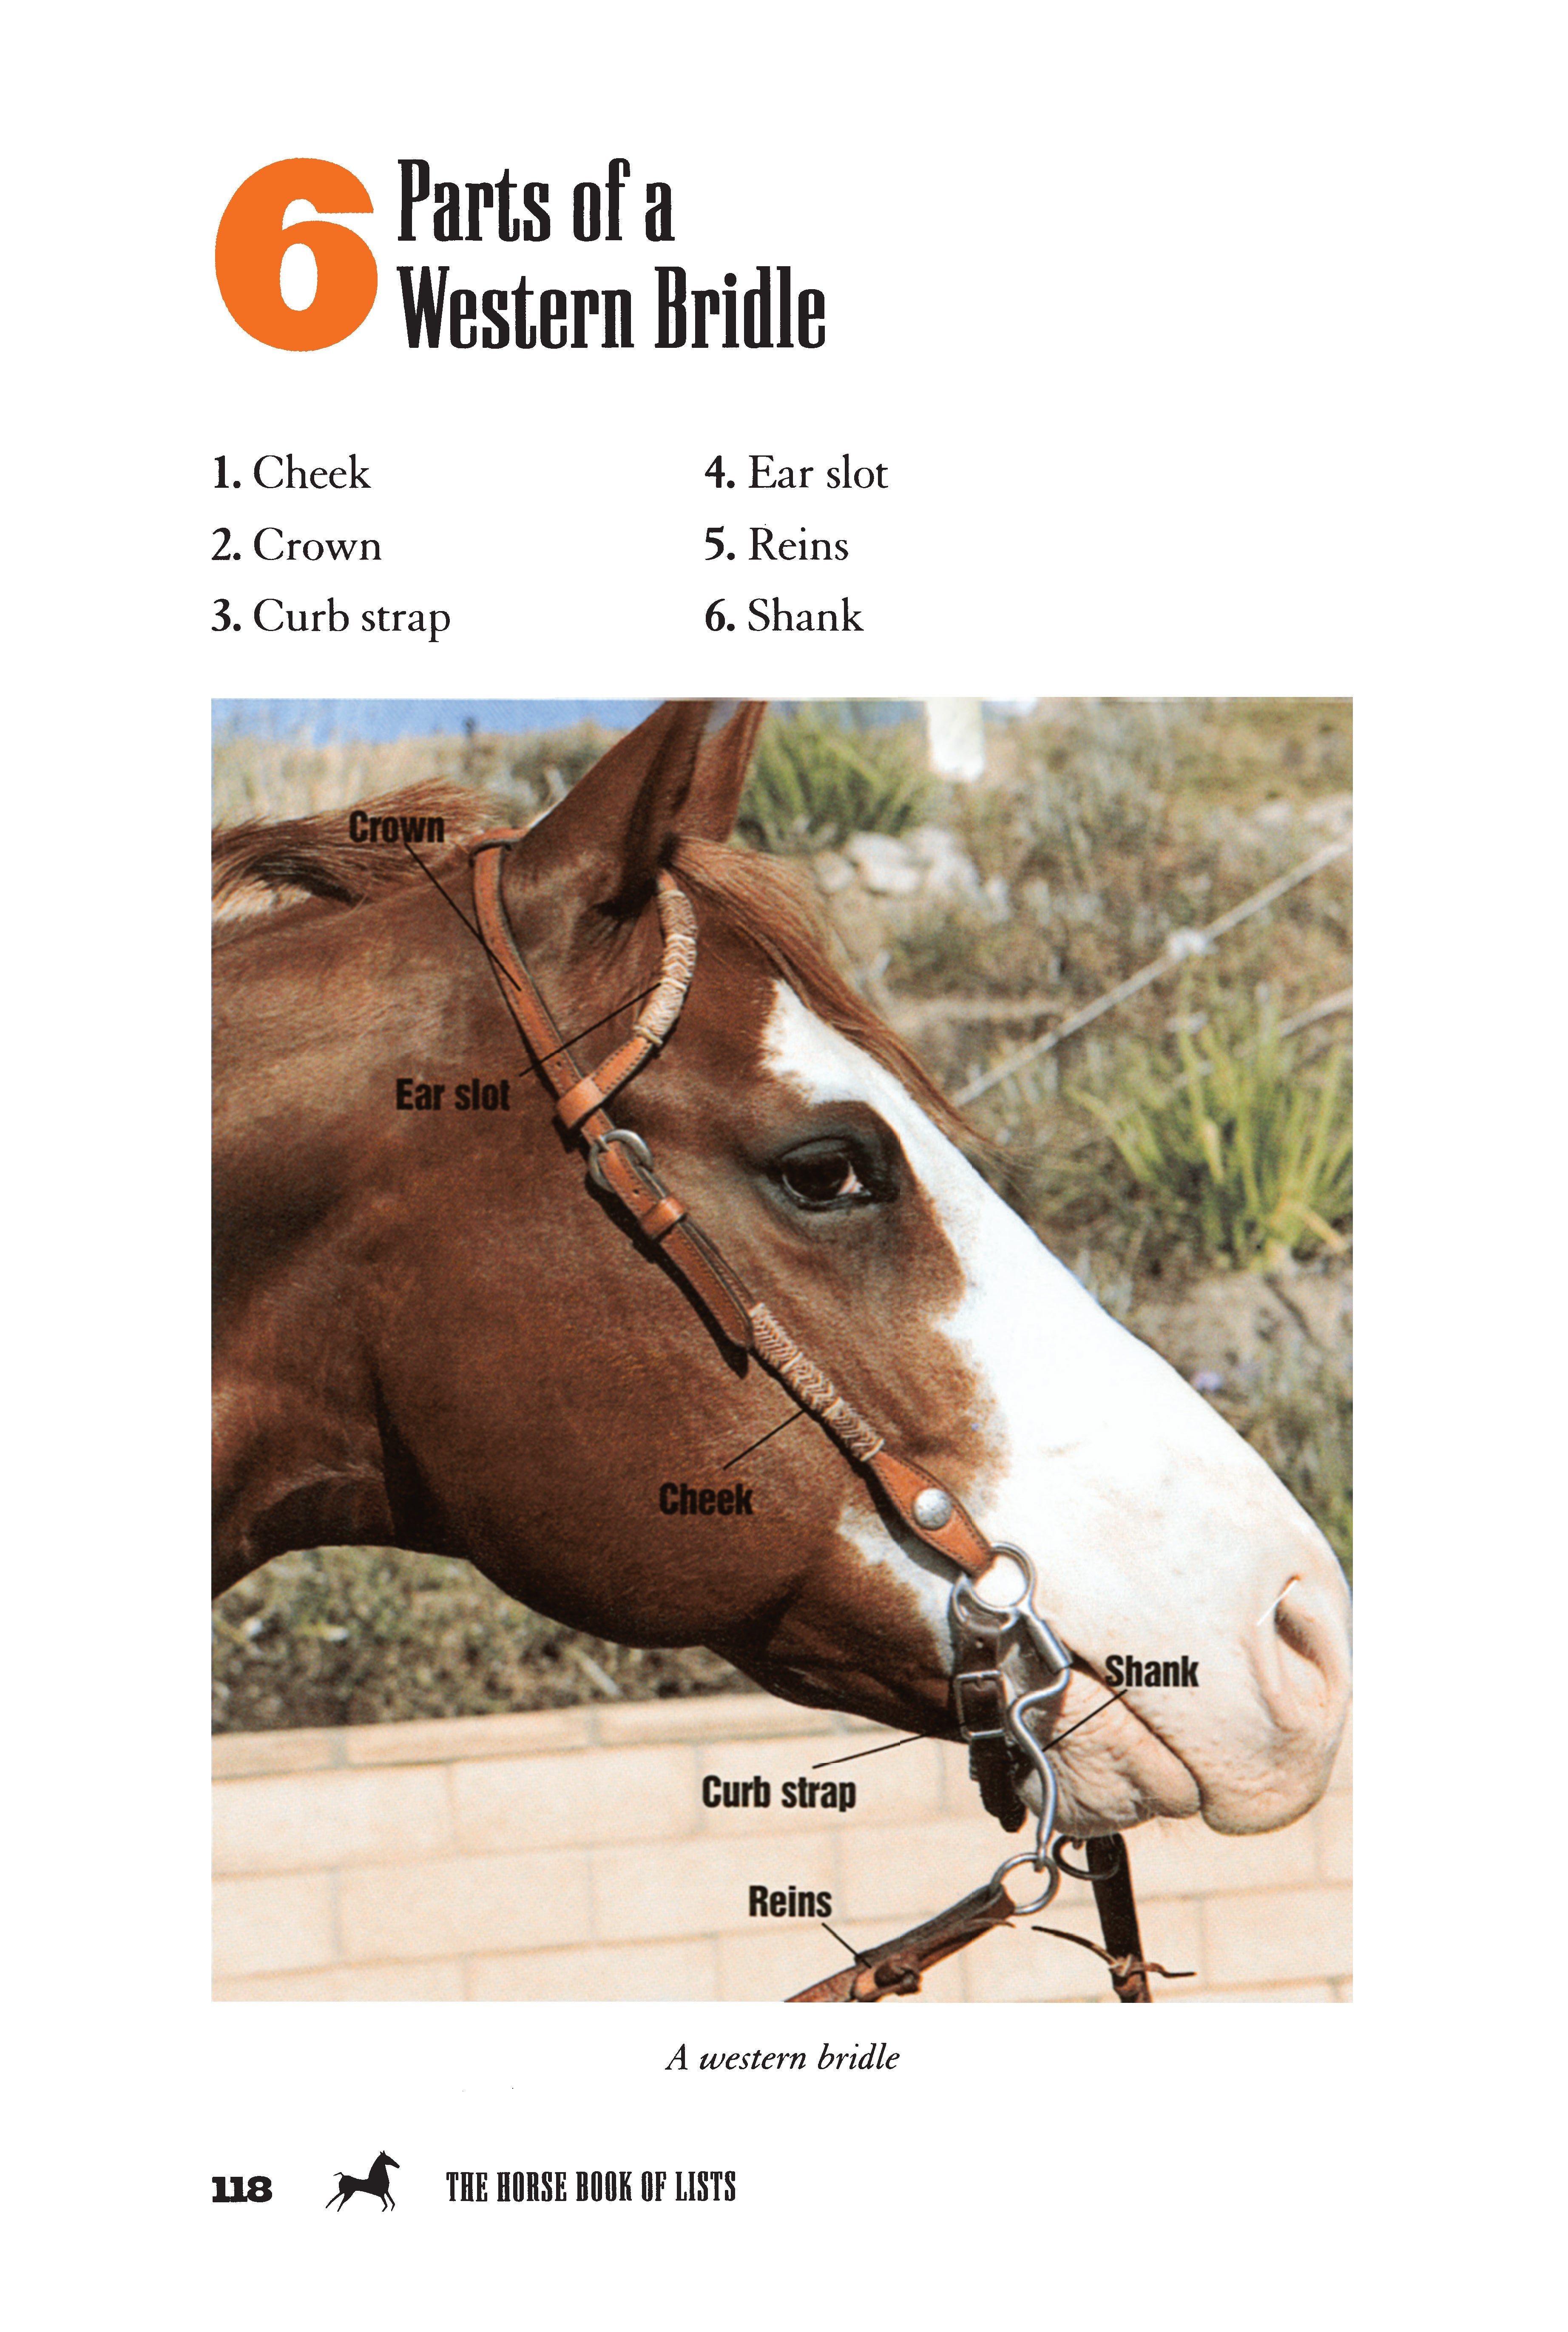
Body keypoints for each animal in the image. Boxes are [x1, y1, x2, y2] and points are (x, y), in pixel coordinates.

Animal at [327, 2152, 398, 2211]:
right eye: (388, 2158)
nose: (398, 2166)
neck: (378, 2178)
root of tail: (343, 2176)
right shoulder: (382, 2194)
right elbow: (386, 2205)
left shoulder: (386, 2192)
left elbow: (392, 2203)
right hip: (347, 2193)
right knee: (340, 2202)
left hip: (344, 2192)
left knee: (336, 2200)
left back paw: (328, 2207)